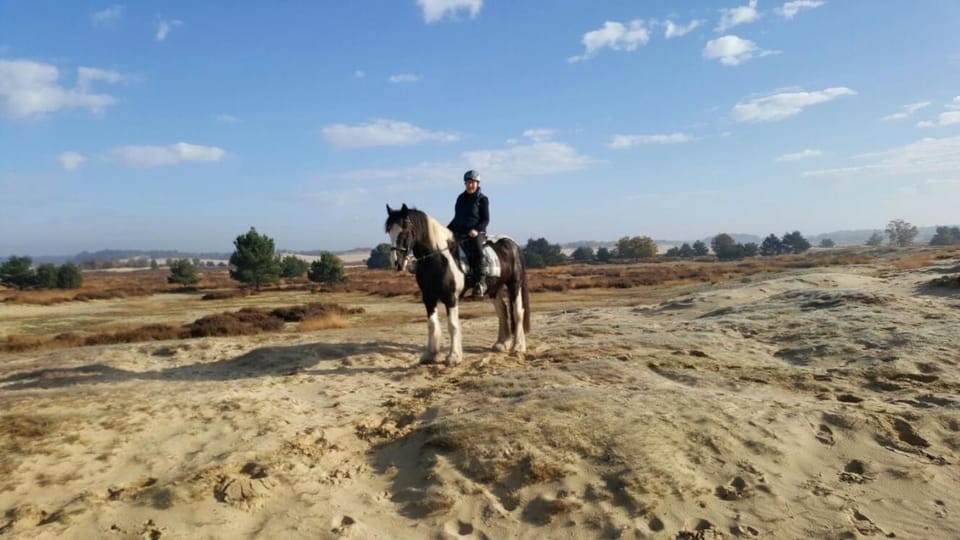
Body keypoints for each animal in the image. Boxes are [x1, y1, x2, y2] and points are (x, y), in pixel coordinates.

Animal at [384, 204, 530, 365]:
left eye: (404, 229)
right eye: (389, 231)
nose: (396, 263)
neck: (438, 258)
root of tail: (513, 244)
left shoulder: (450, 297)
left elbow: (453, 325)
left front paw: (454, 357)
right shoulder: (428, 297)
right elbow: (432, 324)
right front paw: (430, 354)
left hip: (514, 284)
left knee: (518, 312)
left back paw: (518, 347)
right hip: (494, 288)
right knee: (502, 311)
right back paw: (501, 344)